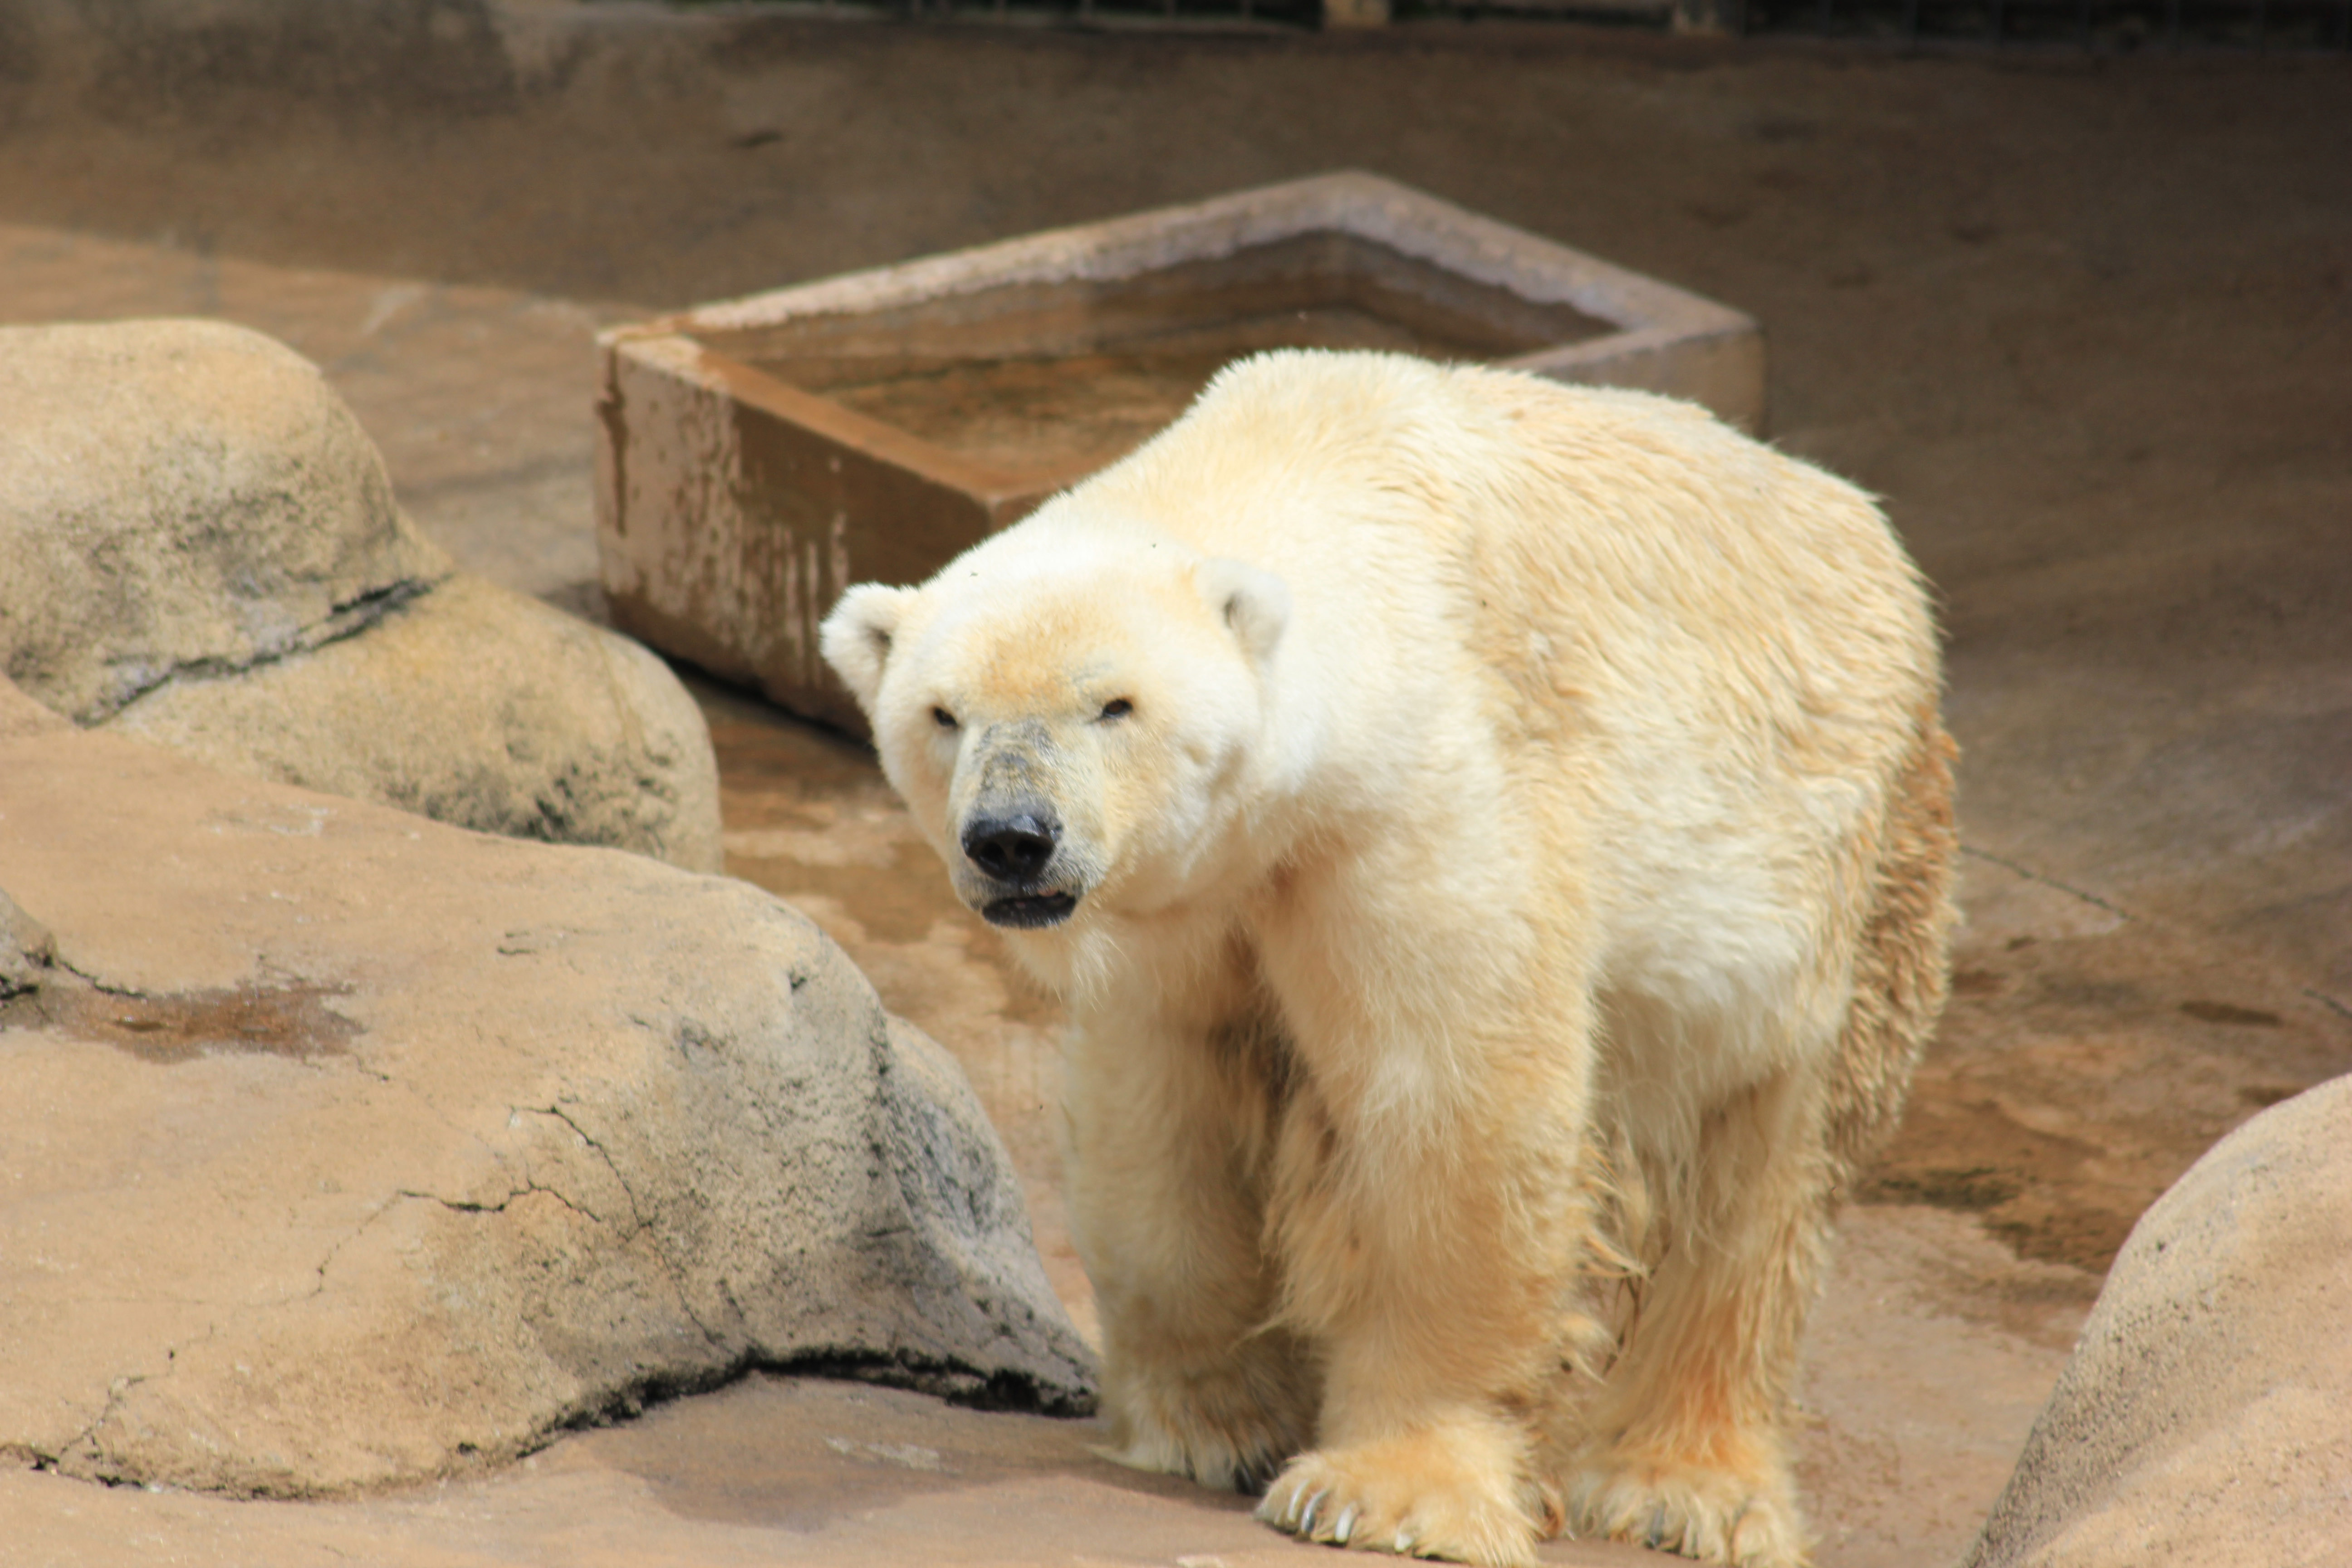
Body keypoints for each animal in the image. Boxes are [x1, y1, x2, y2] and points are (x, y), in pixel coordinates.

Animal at [820, 349, 1958, 1568]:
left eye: (1113, 704)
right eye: (943, 714)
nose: (1012, 838)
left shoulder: (1419, 810)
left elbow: (1451, 1103)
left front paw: (1384, 1490)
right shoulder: (1188, 907)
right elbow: (1164, 1101)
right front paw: (1210, 1427)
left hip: (1849, 868)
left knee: (1763, 1175)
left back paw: (1682, 1488)